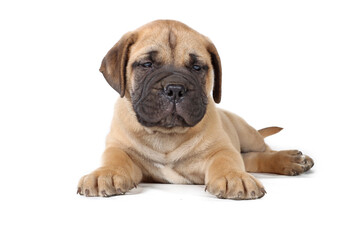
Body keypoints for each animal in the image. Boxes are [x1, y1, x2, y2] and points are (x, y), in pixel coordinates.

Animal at [77, 19, 314, 200]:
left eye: (197, 67)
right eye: (147, 65)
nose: (175, 89)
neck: (166, 136)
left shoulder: (221, 148)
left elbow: (227, 160)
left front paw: (233, 177)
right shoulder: (119, 148)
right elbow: (114, 158)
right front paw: (104, 174)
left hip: (248, 134)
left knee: (262, 151)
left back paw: (290, 159)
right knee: (250, 160)